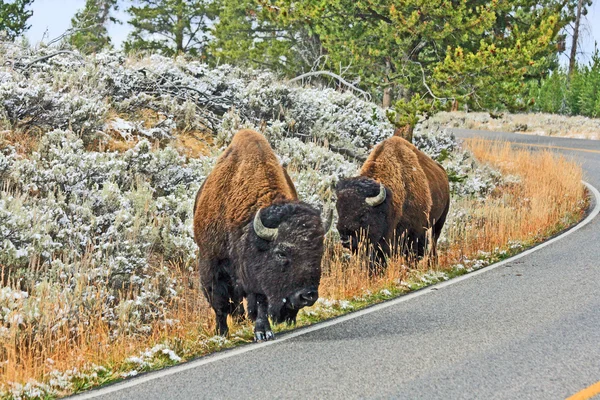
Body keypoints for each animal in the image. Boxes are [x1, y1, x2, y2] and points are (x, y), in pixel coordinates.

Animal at [195, 128, 330, 340]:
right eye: (281, 253)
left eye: (319, 252)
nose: (307, 296)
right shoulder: (213, 264)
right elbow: (221, 304)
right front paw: (223, 333)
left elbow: (261, 303)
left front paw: (262, 330)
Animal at [336, 135, 448, 268]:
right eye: (339, 211)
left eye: (364, 214)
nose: (345, 239)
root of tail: (443, 172)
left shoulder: (416, 232)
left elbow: (414, 254)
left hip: (440, 219)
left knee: (434, 239)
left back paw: (432, 262)